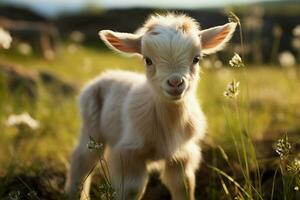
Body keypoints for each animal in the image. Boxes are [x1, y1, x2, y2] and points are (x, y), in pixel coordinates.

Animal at [65, 13, 237, 199]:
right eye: (147, 60)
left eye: (196, 59)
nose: (175, 83)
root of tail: (107, 74)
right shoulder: (129, 153)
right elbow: (132, 189)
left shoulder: (182, 154)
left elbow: (183, 185)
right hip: (91, 126)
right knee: (82, 160)